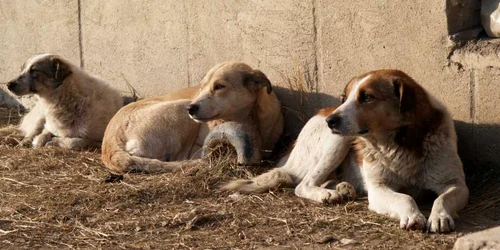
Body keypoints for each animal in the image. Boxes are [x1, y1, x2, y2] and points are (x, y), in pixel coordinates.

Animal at [100, 61, 286, 175]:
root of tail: (110, 144)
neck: (249, 119)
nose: (191, 108)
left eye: (219, 86)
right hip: (179, 108)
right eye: (202, 87)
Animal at [227, 69, 468, 234]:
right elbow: (404, 197)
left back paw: (343, 188)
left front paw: (440, 216)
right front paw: (412, 215)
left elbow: (442, 198)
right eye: (345, 98)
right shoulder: (378, 189)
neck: (399, 144)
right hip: (338, 142)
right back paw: (327, 194)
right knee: (303, 184)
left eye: (367, 97)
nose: (330, 121)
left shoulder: (456, 184)